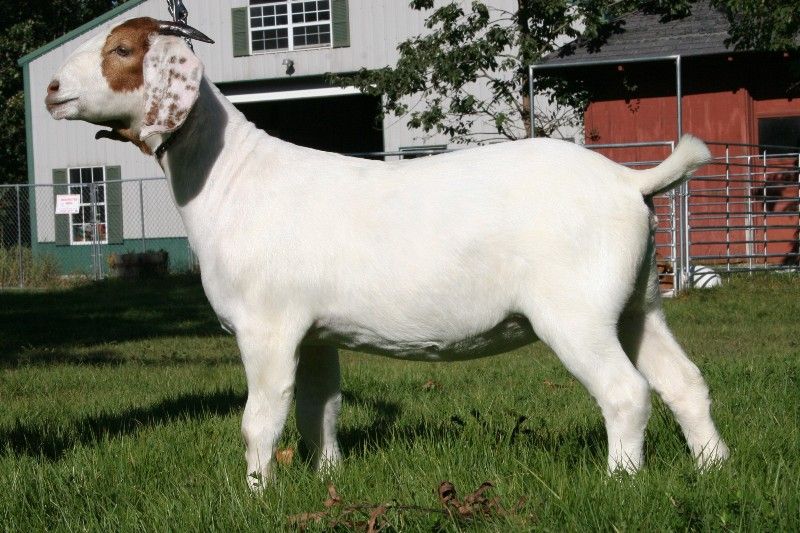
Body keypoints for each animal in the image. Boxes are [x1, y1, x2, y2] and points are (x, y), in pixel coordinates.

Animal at [46, 17, 729, 489]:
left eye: (122, 51)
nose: (51, 88)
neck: (232, 176)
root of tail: (628, 182)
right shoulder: (314, 333)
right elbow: (319, 412)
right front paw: (326, 480)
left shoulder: (268, 328)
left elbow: (261, 419)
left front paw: (256, 494)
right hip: (638, 303)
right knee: (685, 382)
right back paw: (713, 468)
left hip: (577, 313)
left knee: (627, 392)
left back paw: (621, 481)